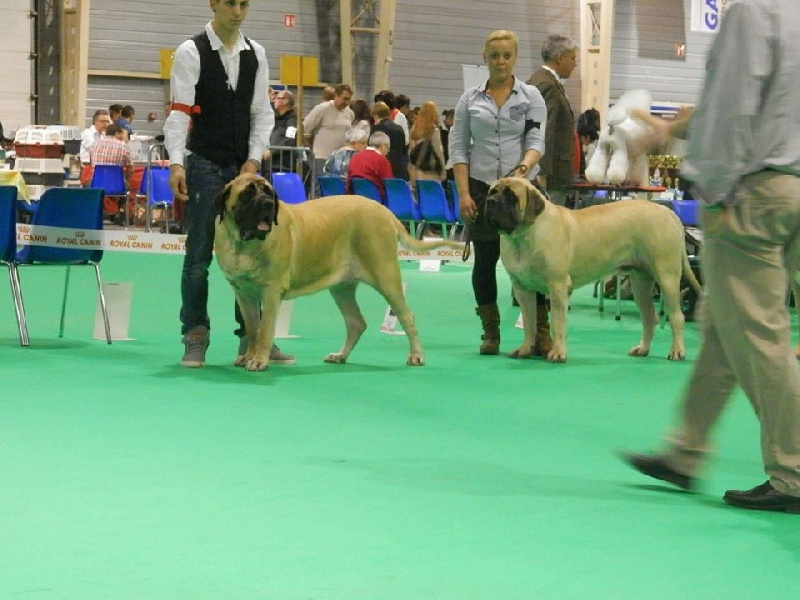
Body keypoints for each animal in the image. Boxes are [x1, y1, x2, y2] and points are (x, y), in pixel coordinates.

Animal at [214, 173, 463, 371]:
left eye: (268, 192)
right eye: (247, 193)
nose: (267, 204)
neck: (243, 243)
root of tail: (383, 210)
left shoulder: (272, 291)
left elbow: (265, 329)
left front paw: (258, 360)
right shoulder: (243, 293)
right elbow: (252, 328)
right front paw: (248, 356)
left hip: (386, 275)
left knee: (407, 316)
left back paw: (416, 355)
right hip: (342, 288)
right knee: (356, 322)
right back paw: (340, 355)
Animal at [484, 177, 702, 362]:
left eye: (511, 196)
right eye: (492, 191)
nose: (490, 201)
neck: (524, 236)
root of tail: (668, 212)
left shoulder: (558, 286)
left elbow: (558, 322)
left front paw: (558, 352)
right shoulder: (522, 289)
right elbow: (529, 323)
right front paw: (525, 349)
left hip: (667, 278)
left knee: (676, 317)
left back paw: (677, 351)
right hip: (640, 282)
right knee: (649, 317)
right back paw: (642, 349)